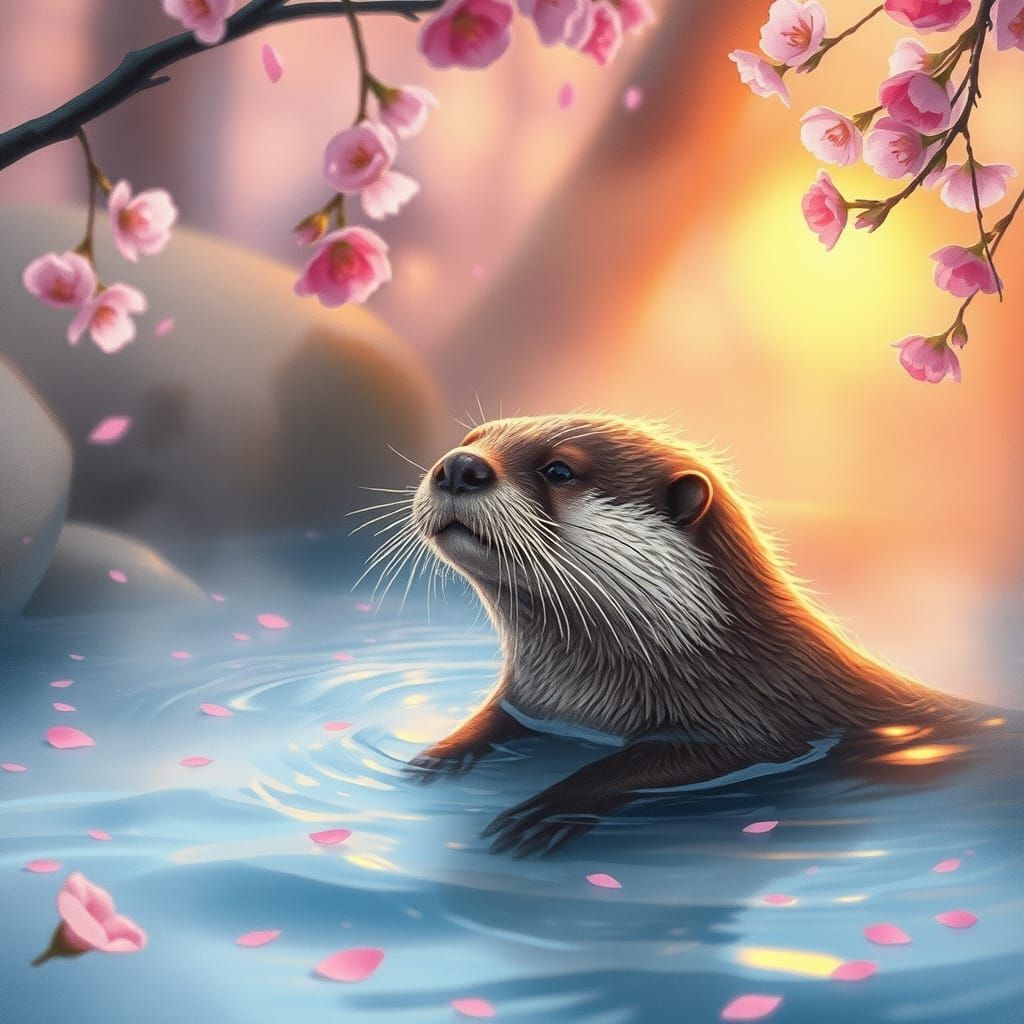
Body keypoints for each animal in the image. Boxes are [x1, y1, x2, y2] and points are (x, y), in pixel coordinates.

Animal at [389, 414, 972, 856]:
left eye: (559, 469)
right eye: (470, 440)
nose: (459, 466)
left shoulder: (758, 720)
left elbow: (645, 762)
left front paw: (550, 806)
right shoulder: (535, 699)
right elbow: (492, 717)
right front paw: (436, 754)